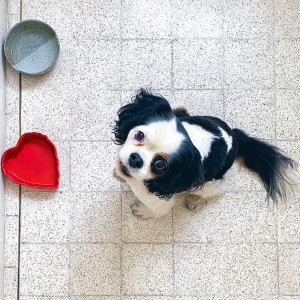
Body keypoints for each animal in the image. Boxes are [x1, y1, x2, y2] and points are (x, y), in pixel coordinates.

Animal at [113, 88, 300, 218]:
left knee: (219, 189)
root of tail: (234, 136)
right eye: (139, 135)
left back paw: (196, 201)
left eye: (160, 165)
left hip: (209, 183)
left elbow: (159, 211)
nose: (135, 159)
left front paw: (142, 211)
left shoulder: (160, 199)